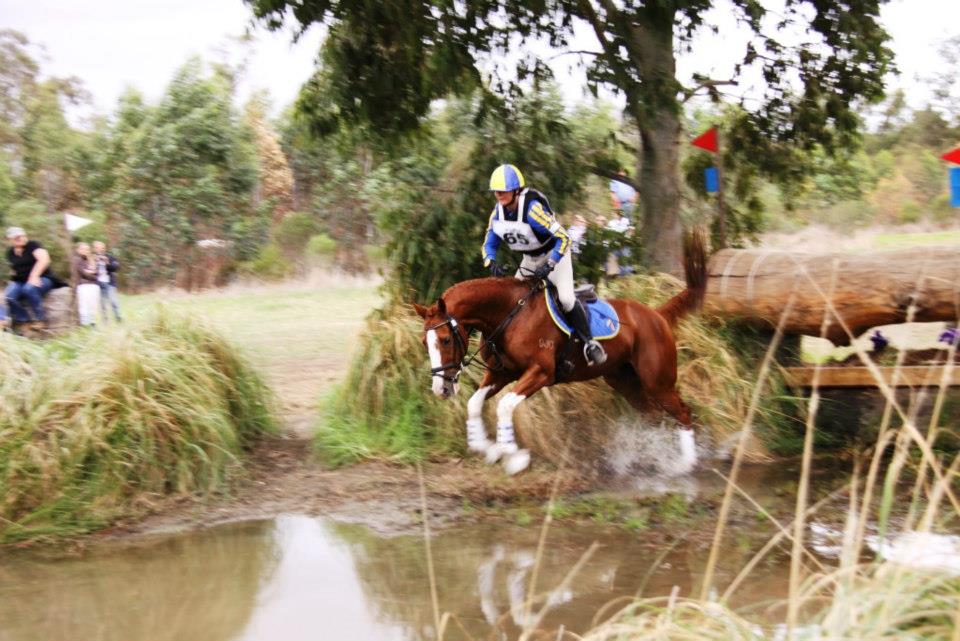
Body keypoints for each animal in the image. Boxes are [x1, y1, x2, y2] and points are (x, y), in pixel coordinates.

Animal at [410, 232, 704, 472]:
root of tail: (657, 315)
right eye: (425, 343)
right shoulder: (501, 373)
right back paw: (652, 457)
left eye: (445, 340)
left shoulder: (541, 373)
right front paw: (488, 448)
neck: (509, 313)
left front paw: (514, 457)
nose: (441, 389)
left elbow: (505, 406)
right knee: (652, 416)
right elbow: (474, 404)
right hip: (624, 381)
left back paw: (686, 464)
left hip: (657, 381)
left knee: (683, 413)